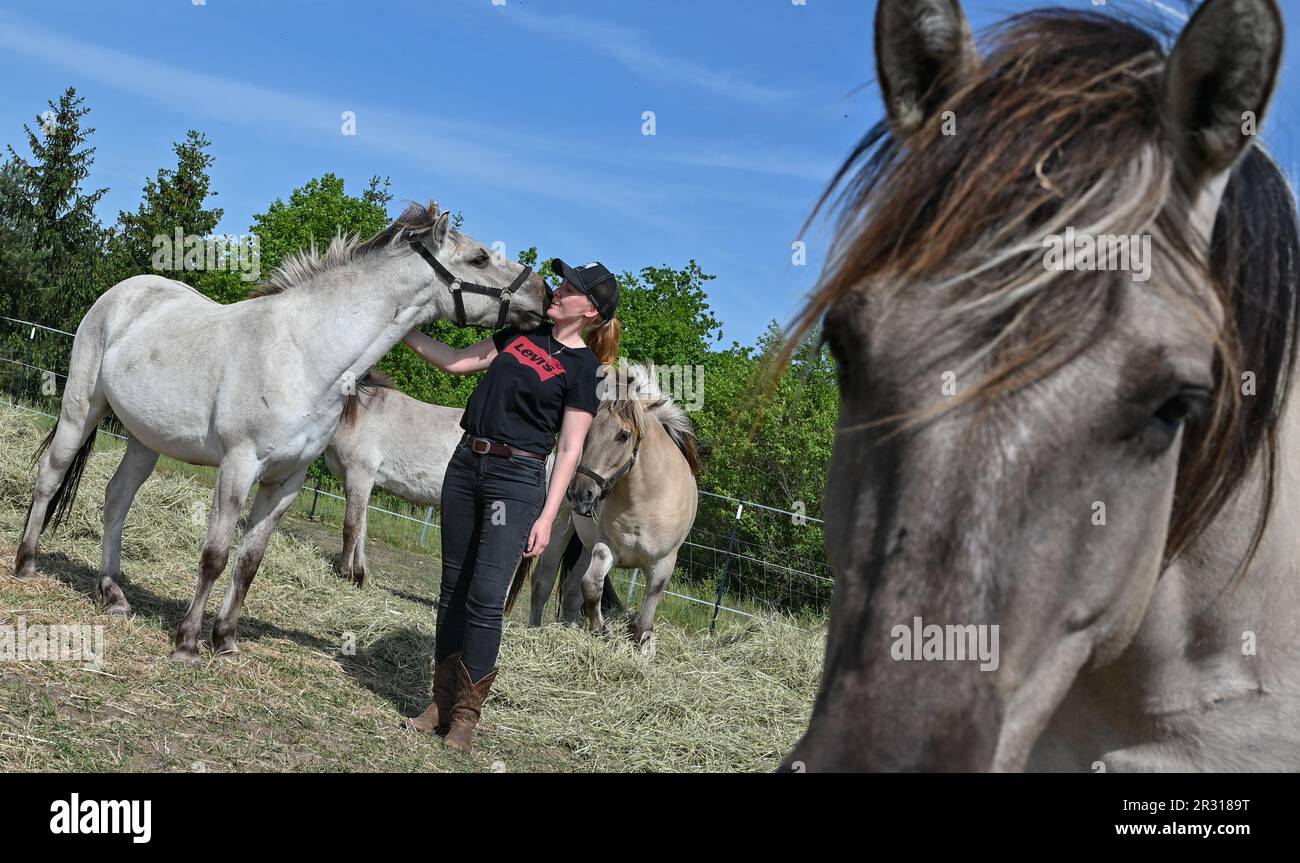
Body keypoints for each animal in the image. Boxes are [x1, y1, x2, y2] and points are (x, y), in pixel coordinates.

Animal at [14, 201, 550, 663]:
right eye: (480, 257)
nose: (544, 296)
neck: (306, 354)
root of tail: (125, 291)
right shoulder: (239, 466)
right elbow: (215, 556)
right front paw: (187, 642)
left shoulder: (286, 482)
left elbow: (249, 562)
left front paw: (226, 640)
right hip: (80, 410)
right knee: (49, 478)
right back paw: (26, 564)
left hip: (146, 440)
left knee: (116, 499)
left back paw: (113, 592)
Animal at [511, 364, 701, 656]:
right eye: (586, 432)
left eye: (623, 435)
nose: (581, 493)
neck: (645, 501)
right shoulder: (606, 548)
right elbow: (591, 586)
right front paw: (602, 632)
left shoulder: (662, 565)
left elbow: (643, 622)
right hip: (557, 532)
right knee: (543, 584)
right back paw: (535, 632)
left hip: (585, 546)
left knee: (570, 591)